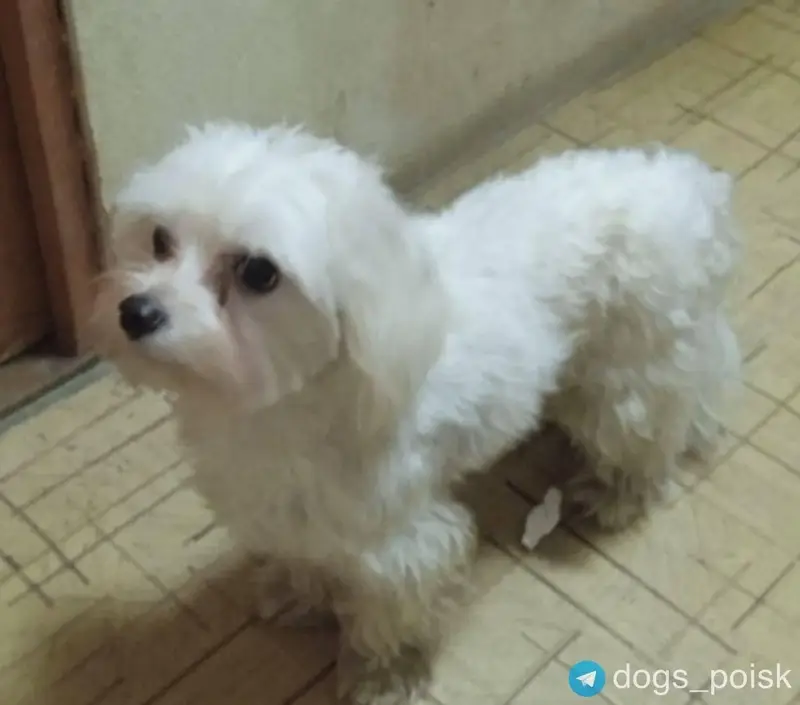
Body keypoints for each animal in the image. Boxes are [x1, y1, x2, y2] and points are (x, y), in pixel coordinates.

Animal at [93, 122, 740, 704]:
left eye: (257, 272)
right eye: (160, 240)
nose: (135, 312)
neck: (281, 405)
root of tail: (684, 183)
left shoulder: (397, 545)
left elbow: (387, 616)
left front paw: (382, 676)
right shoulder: (286, 510)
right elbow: (304, 558)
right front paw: (301, 593)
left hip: (626, 383)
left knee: (646, 435)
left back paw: (615, 493)